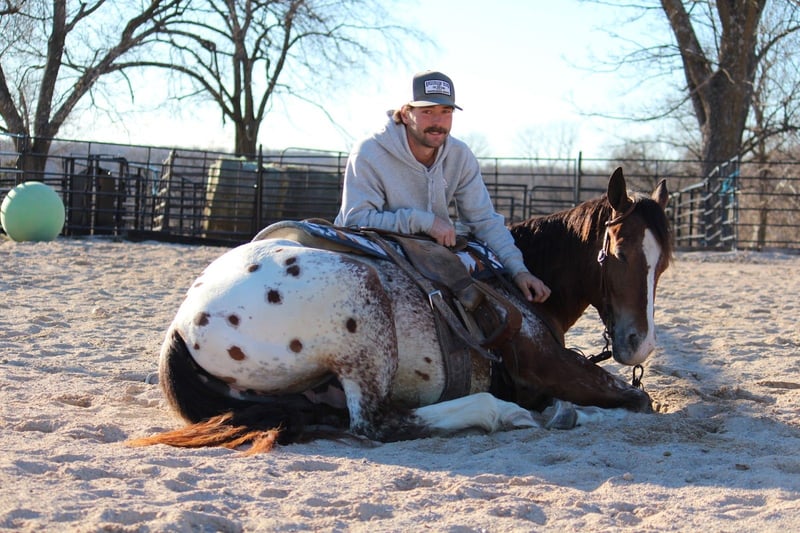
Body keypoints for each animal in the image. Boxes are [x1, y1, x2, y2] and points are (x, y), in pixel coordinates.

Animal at [130, 167, 672, 453]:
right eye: (620, 253)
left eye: (663, 261)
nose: (640, 344)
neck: (514, 281)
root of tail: (182, 325)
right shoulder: (550, 363)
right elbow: (637, 400)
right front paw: (573, 411)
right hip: (363, 309)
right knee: (374, 423)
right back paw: (500, 412)